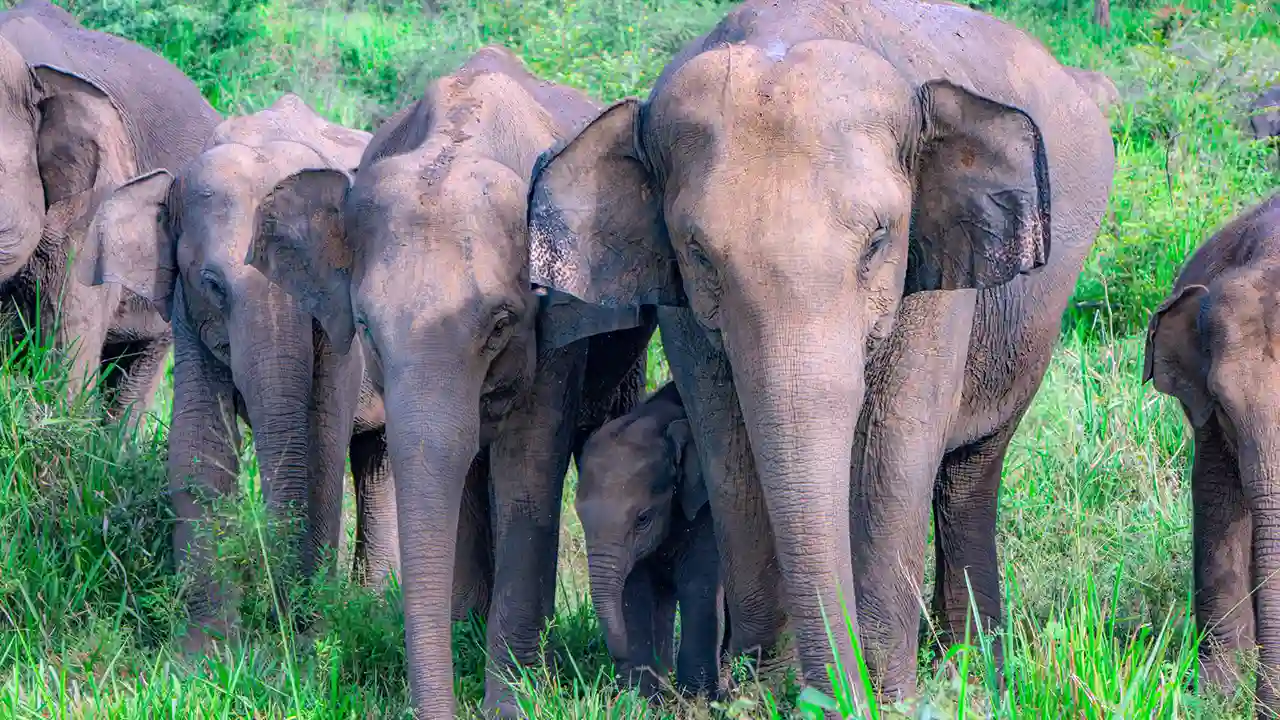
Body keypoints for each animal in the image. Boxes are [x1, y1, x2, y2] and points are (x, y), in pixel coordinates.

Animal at [76, 94, 496, 648]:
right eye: (213, 284)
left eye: (313, 293)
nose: (274, 612)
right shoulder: (188, 315)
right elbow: (198, 440)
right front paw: (208, 650)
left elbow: (321, 447)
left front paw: (308, 638)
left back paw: (367, 608)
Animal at [576, 380, 724, 699]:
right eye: (578, 515)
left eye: (642, 518)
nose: (616, 657)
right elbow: (636, 592)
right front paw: (640, 699)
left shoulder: (705, 510)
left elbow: (699, 586)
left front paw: (697, 700)